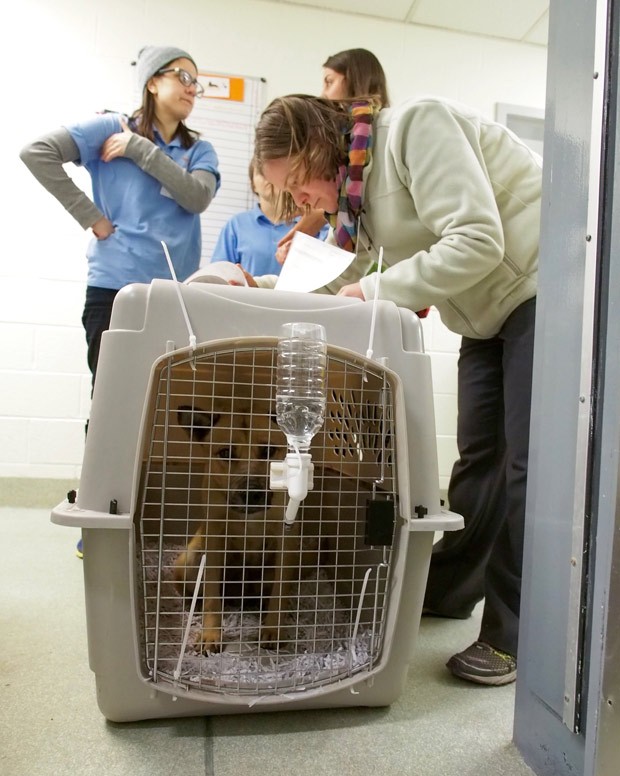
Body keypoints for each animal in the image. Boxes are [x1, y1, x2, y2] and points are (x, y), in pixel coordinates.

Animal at [172, 404, 322, 652]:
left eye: (268, 451)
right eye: (225, 453)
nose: (251, 494)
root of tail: (241, 593)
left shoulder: (285, 538)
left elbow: (280, 593)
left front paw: (273, 629)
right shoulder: (214, 536)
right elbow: (212, 595)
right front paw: (211, 634)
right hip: (191, 559)